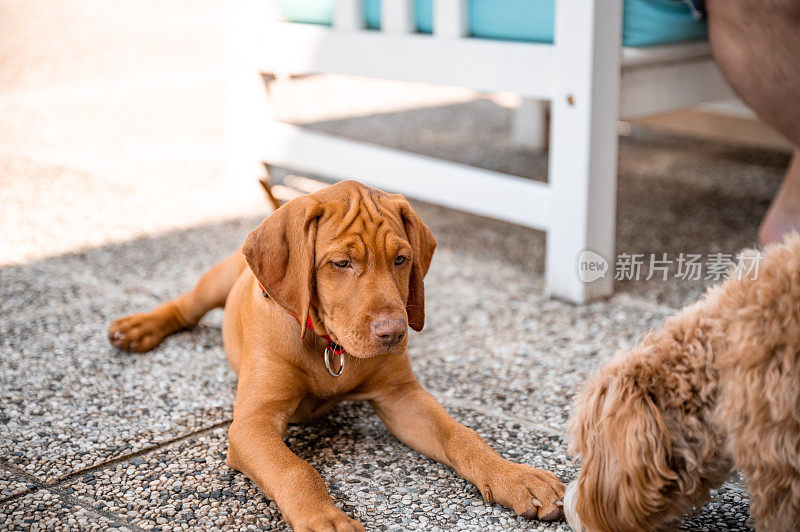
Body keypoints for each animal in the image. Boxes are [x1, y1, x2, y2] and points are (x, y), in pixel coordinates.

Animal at [109, 181, 564, 528]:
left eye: (401, 259)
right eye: (341, 263)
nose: (395, 333)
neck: (329, 345)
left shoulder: (401, 396)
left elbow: (461, 435)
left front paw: (514, 477)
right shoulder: (251, 425)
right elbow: (296, 471)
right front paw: (325, 519)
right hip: (216, 281)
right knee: (186, 307)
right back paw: (141, 327)